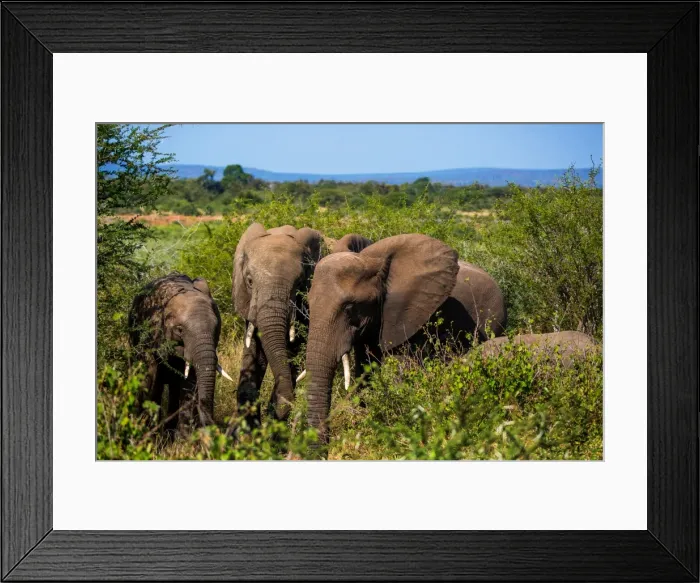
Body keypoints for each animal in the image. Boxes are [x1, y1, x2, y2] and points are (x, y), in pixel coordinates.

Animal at [128, 273, 231, 433]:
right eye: (179, 330)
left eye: (216, 328)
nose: (211, 426)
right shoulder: (150, 333)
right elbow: (149, 377)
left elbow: (189, 383)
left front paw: (183, 438)